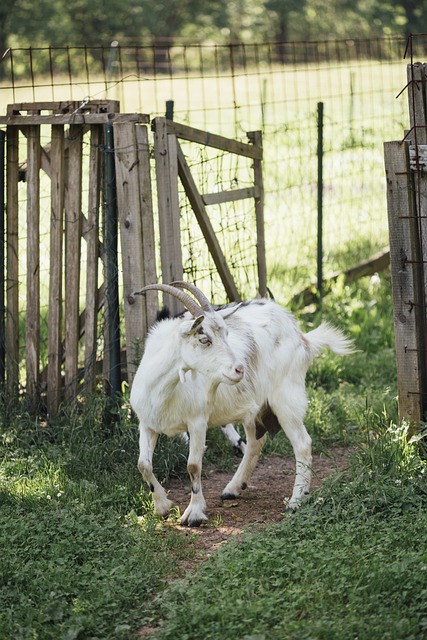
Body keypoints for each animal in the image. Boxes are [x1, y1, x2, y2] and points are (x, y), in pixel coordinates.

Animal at [130, 282, 354, 528]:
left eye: (227, 334)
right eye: (204, 339)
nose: (239, 369)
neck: (165, 389)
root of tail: (300, 334)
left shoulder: (197, 422)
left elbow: (193, 465)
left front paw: (194, 513)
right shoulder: (147, 424)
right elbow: (143, 464)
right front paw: (162, 506)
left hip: (286, 397)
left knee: (302, 444)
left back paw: (295, 502)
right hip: (253, 408)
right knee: (256, 442)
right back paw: (232, 488)